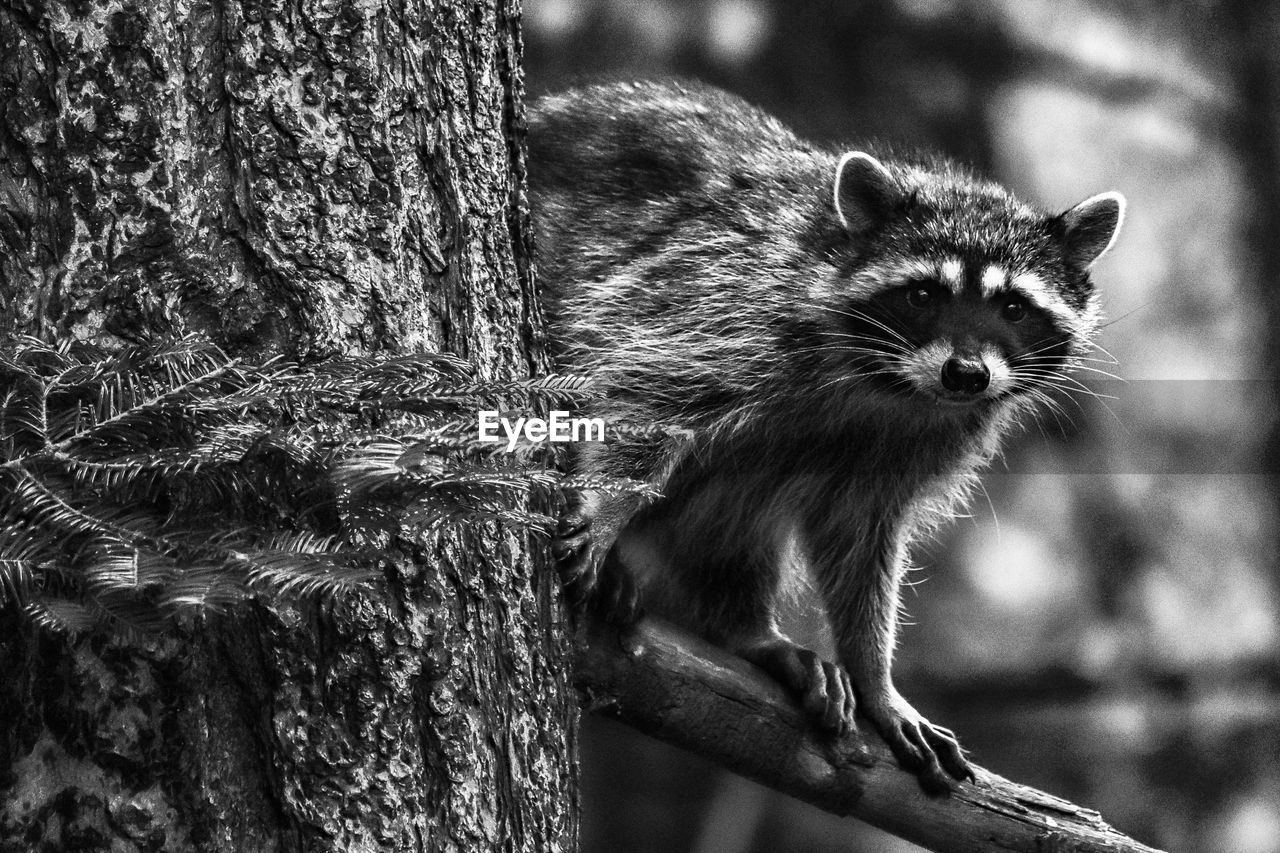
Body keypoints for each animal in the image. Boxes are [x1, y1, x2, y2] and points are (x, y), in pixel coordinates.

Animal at [527, 83, 1121, 788]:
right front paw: (605, 506)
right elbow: (644, 391)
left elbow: (863, 539)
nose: (967, 373)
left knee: (736, 503)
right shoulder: (720, 303)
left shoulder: (925, 438)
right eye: (924, 294)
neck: (890, 384)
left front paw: (875, 674)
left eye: (1014, 308)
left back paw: (745, 628)